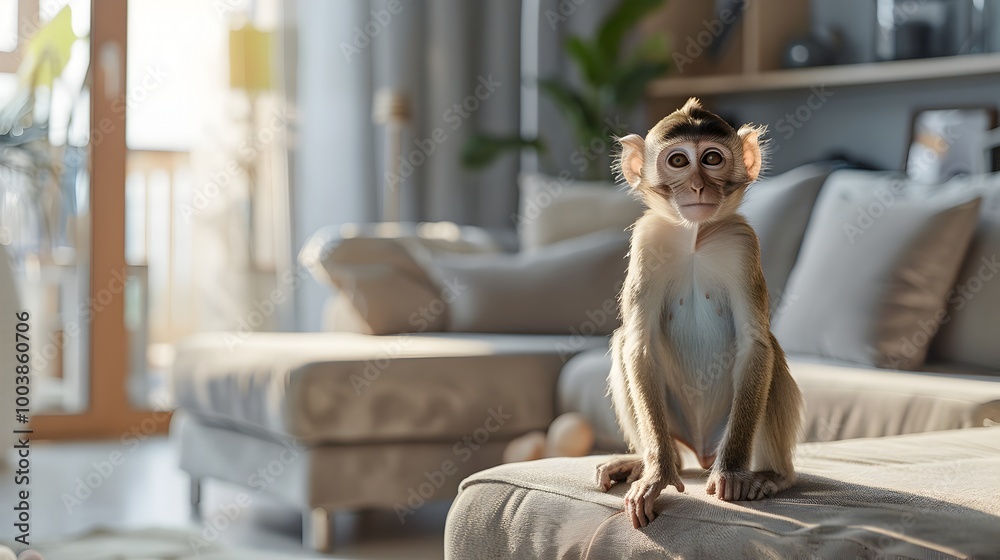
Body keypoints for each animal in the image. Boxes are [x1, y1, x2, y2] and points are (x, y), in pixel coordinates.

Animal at [596, 98, 802, 529]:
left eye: (711, 158)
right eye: (678, 160)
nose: (697, 186)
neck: (695, 237)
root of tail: (702, 450)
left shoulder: (742, 244)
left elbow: (756, 345)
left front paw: (731, 474)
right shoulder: (647, 241)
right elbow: (638, 344)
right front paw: (657, 474)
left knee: (771, 354)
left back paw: (772, 475)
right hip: (674, 426)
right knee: (623, 341)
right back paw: (648, 461)